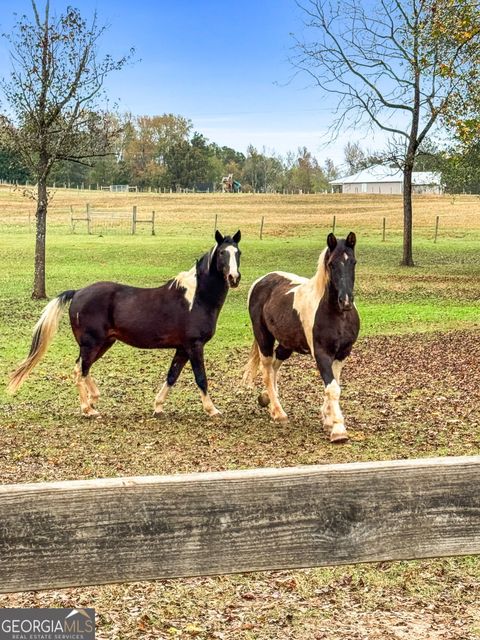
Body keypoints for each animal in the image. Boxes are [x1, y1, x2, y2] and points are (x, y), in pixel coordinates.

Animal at [10, 229, 244, 416]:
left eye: (238, 253)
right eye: (222, 253)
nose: (234, 278)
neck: (196, 298)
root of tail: (77, 293)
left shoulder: (183, 348)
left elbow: (172, 375)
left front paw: (158, 406)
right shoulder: (194, 346)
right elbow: (201, 378)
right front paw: (212, 410)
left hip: (104, 343)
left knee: (83, 369)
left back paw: (93, 401)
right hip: (91, 344)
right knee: (80, 370)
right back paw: (88, 409)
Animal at [244, 232, 360, 442]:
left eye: (353, 262)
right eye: (331, 264)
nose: (346, 301)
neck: (336, 314)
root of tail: (260, 282)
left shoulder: (342, 353)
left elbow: (335, 385)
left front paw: (328, 419)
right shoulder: (321, 354)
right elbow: (332, 388)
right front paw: (338, 429)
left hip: (286, 344)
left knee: (274, 365)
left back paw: (266, 399)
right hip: (264, 339)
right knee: (267, 370)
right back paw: (278, 412)